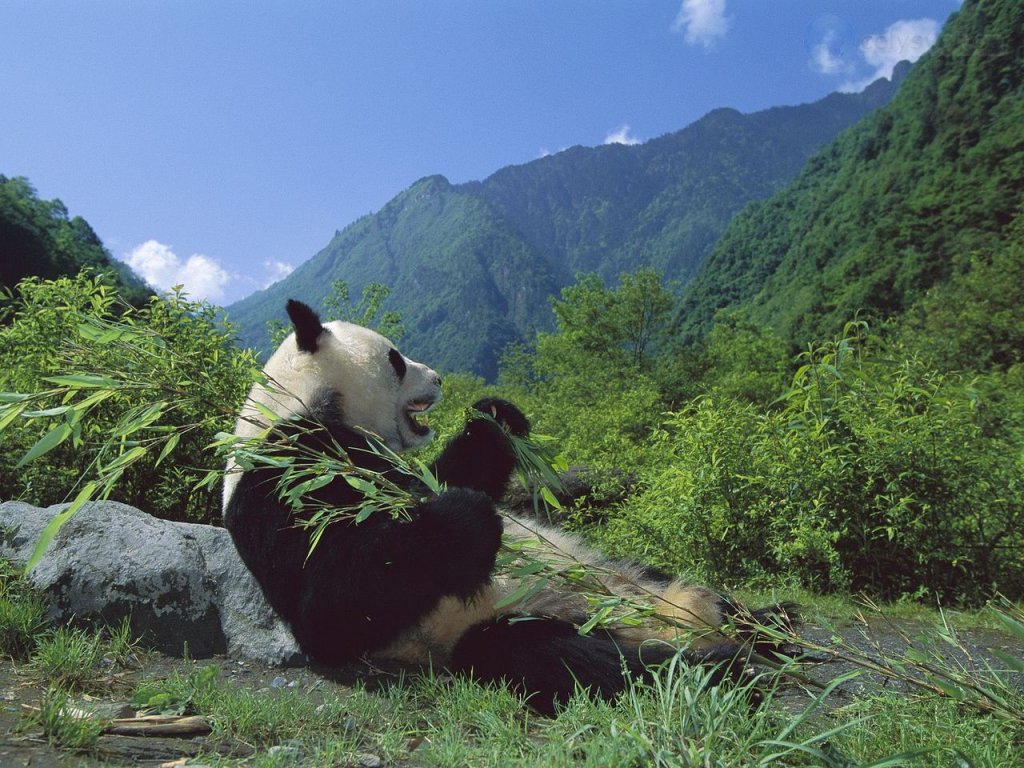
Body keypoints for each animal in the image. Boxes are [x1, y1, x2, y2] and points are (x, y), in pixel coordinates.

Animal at [223, 299, 793, 715]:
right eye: (396, 359)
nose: (439, 379)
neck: (304, 403)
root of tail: (666, 619)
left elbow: (453, 471)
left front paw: (495, 414)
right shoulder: (282, 477)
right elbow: (330, 604)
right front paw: (464, 518)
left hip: (623, 569)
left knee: (689, 591)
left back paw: (770, 624)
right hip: (505, 620)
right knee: (562, 658)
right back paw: (722, 666)